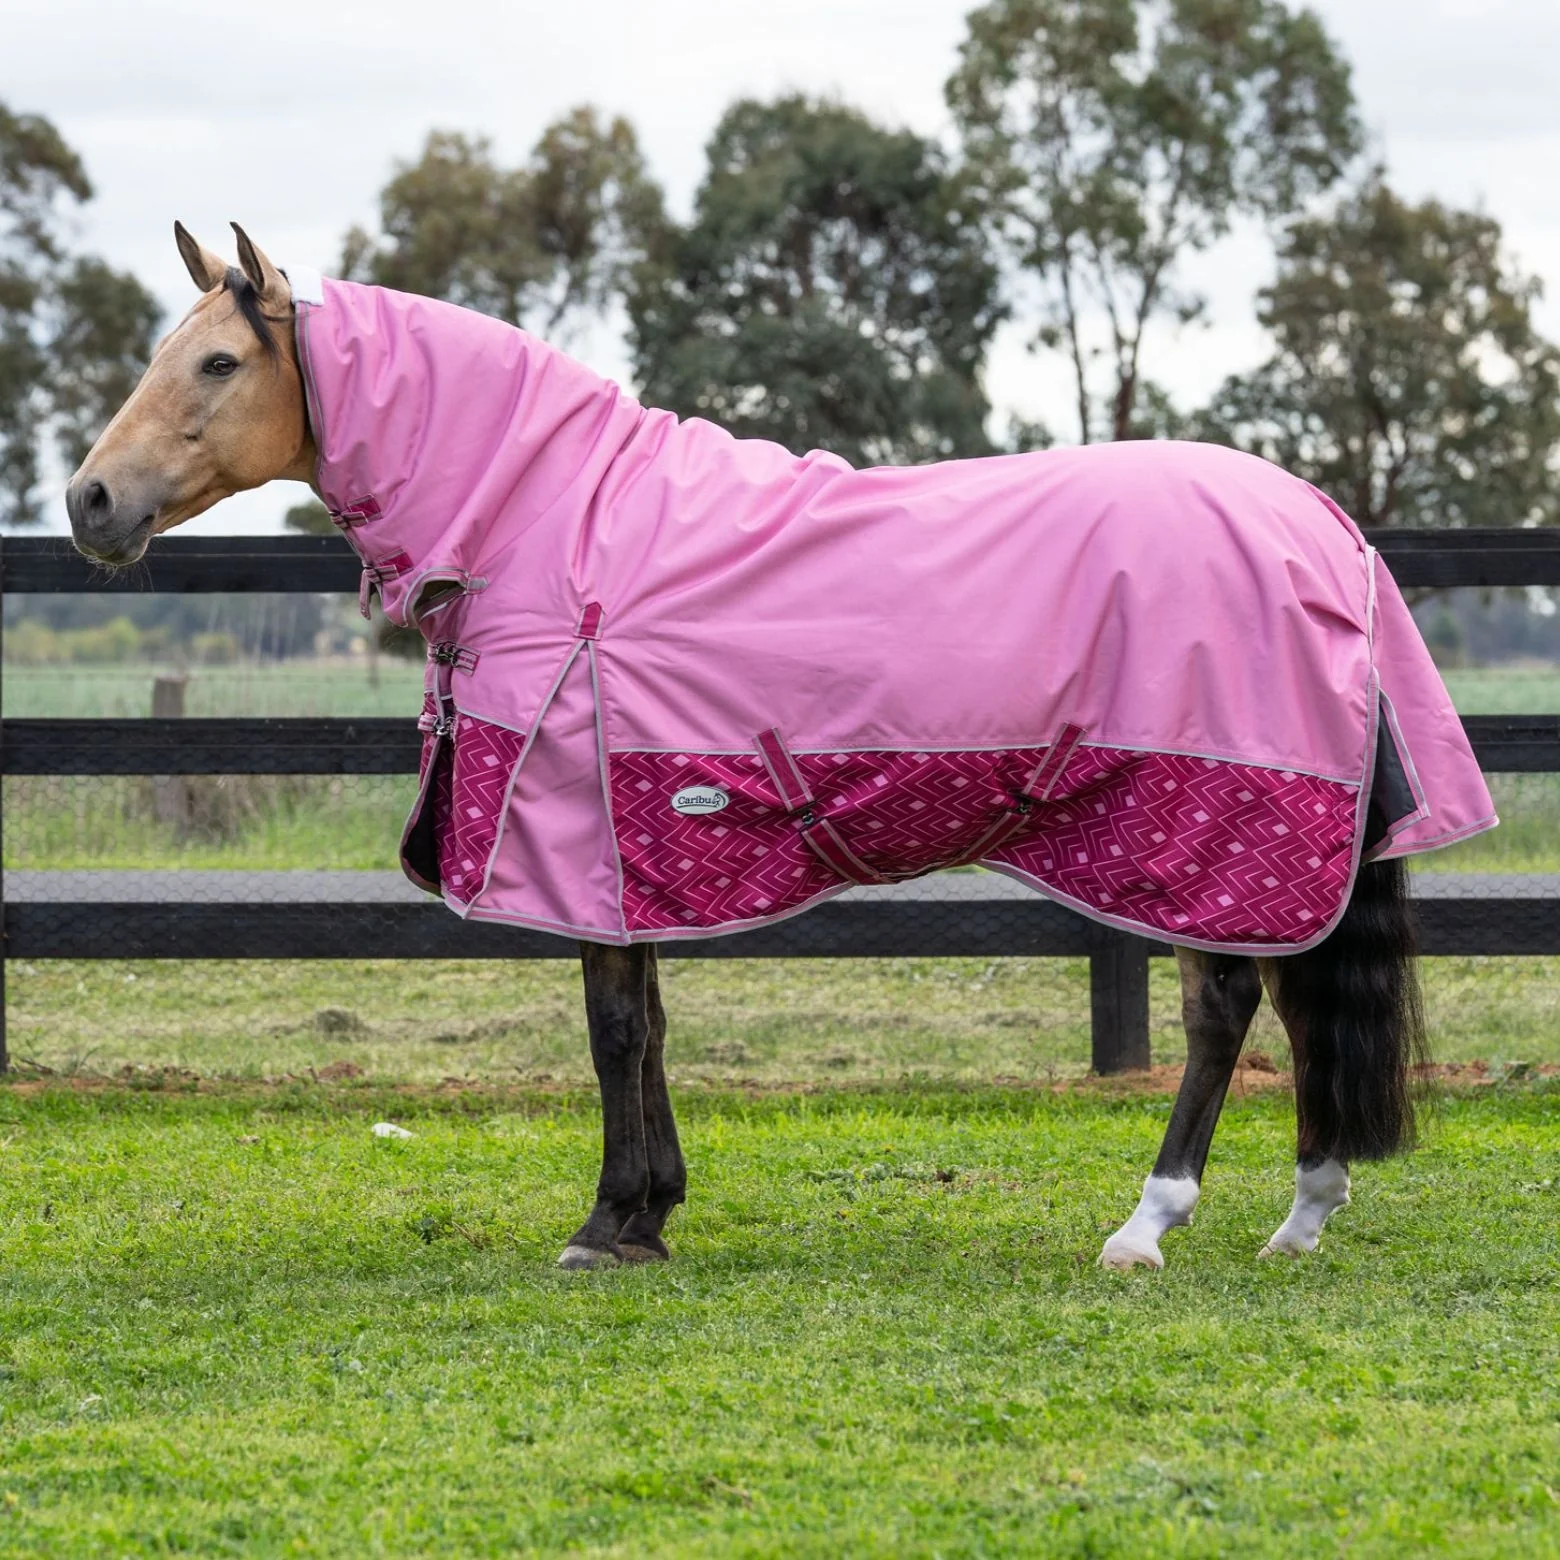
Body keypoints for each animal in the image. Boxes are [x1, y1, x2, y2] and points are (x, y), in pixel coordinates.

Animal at [65, 224, 1495, 1273]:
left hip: (1213, 829)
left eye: (216, 365)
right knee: (1304, 999)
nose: (87, 501)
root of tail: (1321, 522)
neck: (555, 524)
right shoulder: (627, 841)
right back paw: (1302, 1215)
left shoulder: (579, 828)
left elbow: (613, 1030)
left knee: (1224, 1010)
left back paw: (1149, 1223)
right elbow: (646, 1021)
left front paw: (609, 1225)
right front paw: (653, 1208)